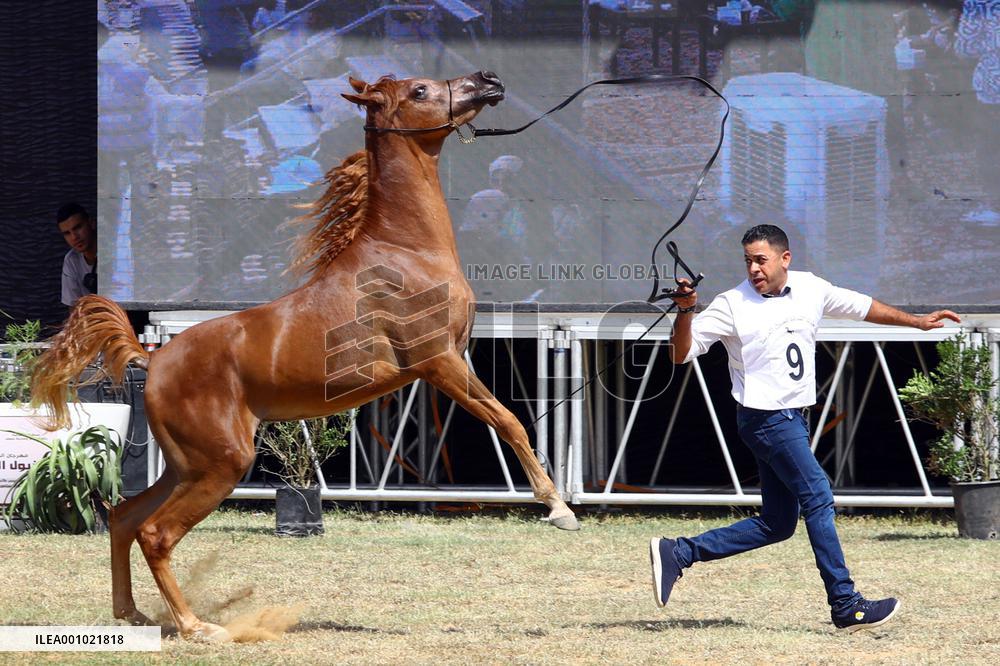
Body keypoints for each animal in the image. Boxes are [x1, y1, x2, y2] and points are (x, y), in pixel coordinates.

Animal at [31, 70, 579, 642]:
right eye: (421, 91)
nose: (487, 80)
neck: (404, 251)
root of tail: (153, 360)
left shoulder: (452, 361)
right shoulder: (439, 362)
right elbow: (509, 421)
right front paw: (558, 507)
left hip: (188, 466)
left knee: (124, 518)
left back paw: (134, 615)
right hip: (219, 465)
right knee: (155, 533)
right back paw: (198, 628)